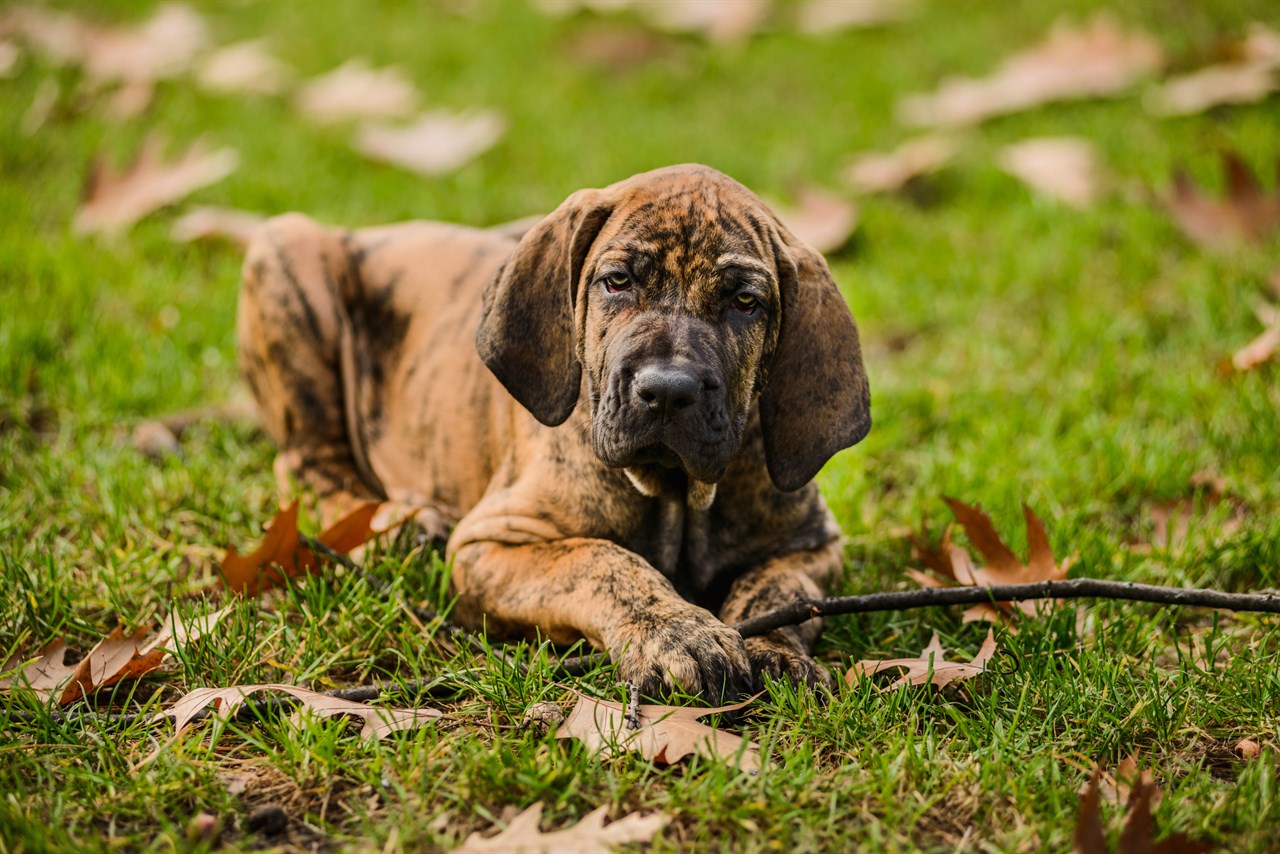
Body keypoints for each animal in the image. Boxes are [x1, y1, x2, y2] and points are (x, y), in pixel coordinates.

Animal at [238, 163, 870, 696]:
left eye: (744, 301)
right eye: (617, 281)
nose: (668, 391)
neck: (673, 495)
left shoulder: (810, 544)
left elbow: (778, 590)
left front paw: (774, 649)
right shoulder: (490, 546)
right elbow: (601, 562)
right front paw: (679, 633)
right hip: (285, 252)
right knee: (307, 463)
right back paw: (397, 523)